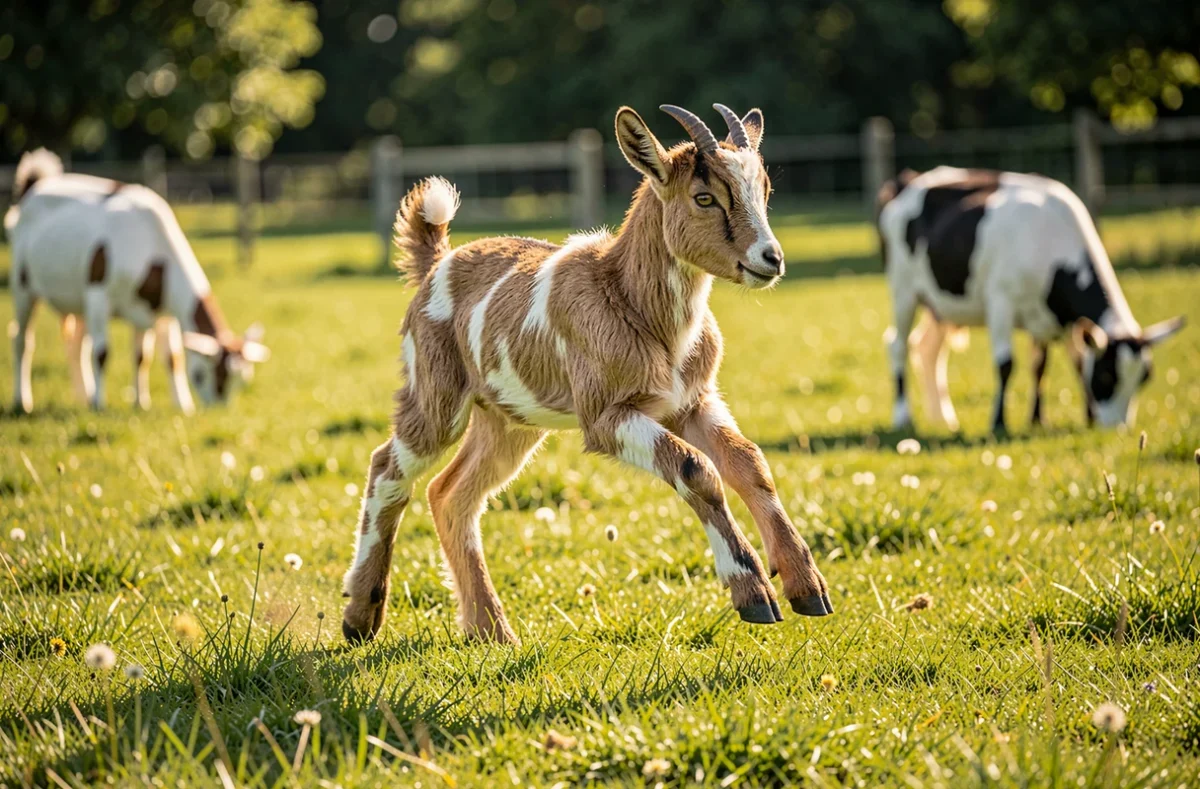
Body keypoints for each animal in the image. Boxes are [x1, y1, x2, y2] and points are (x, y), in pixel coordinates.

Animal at [6, 149, 269, 414]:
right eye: (208, 374)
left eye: (243, 380)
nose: (219, 409)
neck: (153, 251)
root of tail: (34, 186)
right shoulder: (98, 295)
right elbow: (102, 352)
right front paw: (100, 403)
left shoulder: (157, 312)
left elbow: (158, 357)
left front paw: (162, 404)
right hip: (23, 284)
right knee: (22, 340)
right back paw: (23, 400)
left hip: (78, 301)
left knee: (76, 346)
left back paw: (84, 396)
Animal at [341, 104, 832, 644]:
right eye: (704, 197)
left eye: (763, 191)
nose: (771, 258)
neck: (630, 300)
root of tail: (436, 264)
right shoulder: (605, 414)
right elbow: (694, 469)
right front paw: (754, 594)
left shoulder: (692, 400)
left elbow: (749, 462)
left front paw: (808, 587)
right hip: (437, 395)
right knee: (388, 467)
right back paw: (360, 617)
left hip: (508, 420)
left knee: (450, 494)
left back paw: (491, 630)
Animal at [878, 166, 1184, 432]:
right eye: (1107, 375)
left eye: (1144, 378)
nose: (1119, 428)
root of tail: (909, 180)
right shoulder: (1000, 301)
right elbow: (1006, 364)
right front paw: (999, 422)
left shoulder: (1056, 317)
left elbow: (1050, 365)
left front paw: (1045, 419)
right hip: (904, 289)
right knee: (898, 345)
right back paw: (903, 416)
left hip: (942, 304)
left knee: (929, 349)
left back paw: (943, 418)